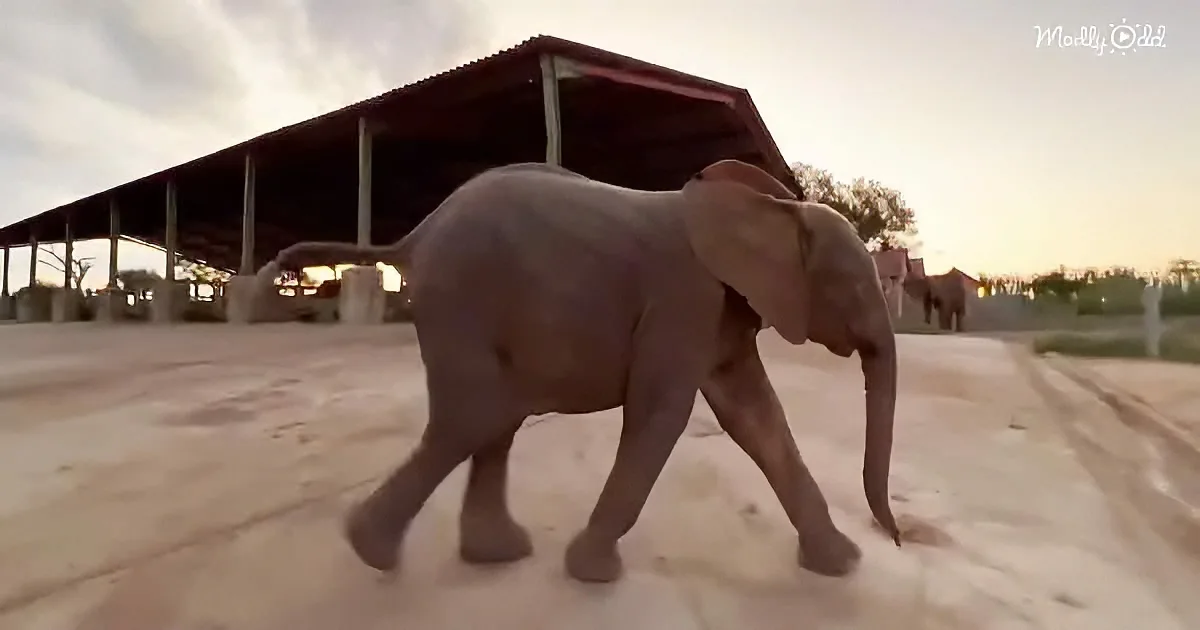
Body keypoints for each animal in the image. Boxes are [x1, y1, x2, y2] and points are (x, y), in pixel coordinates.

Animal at [254, 159, 902, 584]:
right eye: (851, 287)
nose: (896, 538)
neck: (777, 210)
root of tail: (416, 235)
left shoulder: (722, 309)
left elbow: (757, 419)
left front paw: (840, 565)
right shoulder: (683, 297)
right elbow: (662, 412)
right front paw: (593, 572)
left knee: (496, 417)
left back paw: (492, 556)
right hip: (462, 294)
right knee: (476, 414)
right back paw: (374, 552)